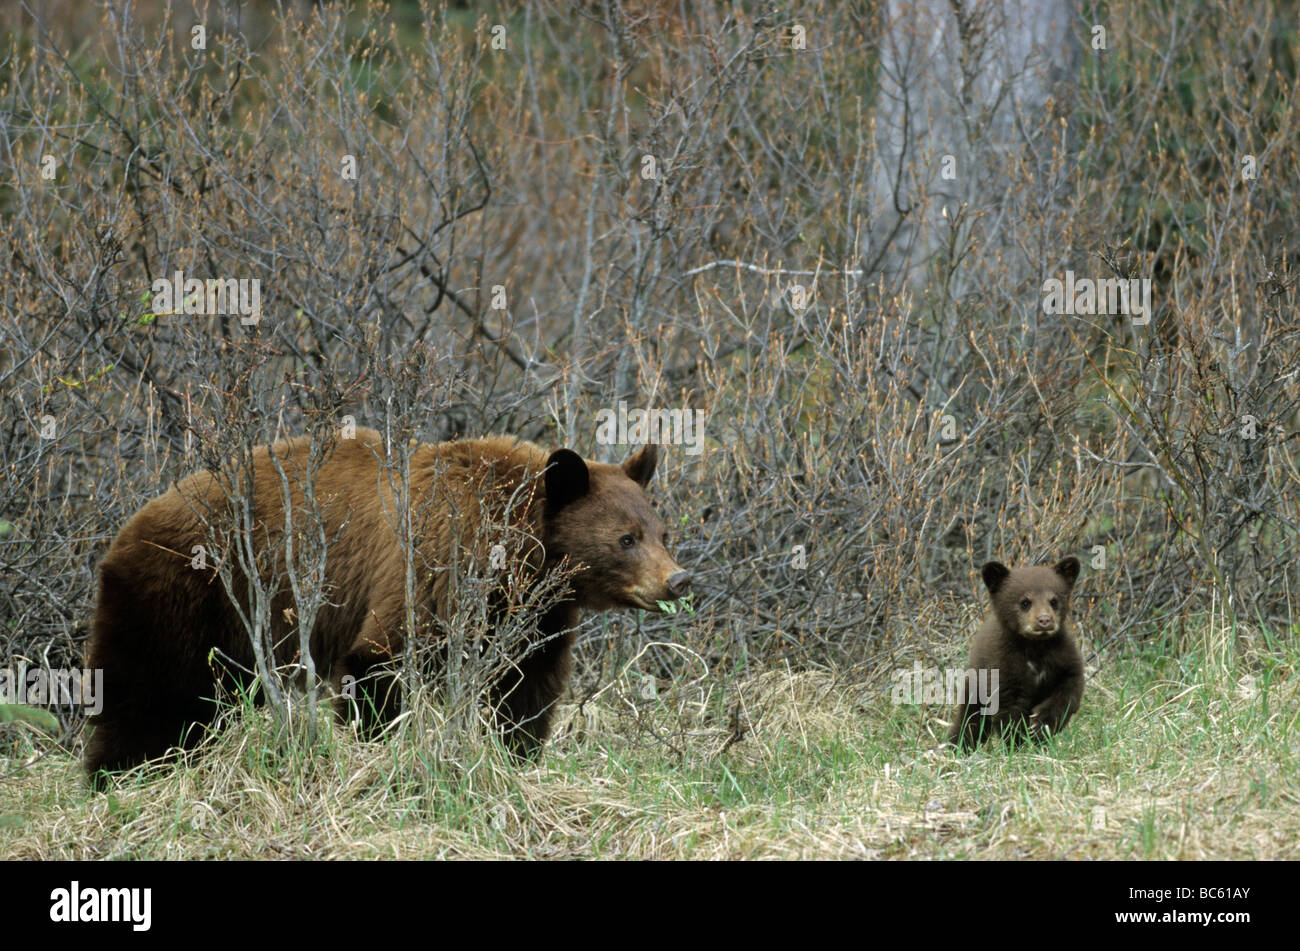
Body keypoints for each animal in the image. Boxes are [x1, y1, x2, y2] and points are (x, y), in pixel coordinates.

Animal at [83, 427, 690, 783]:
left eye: (662, 532)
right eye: (627, 538)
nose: (678, 580)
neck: (518, 551)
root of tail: (128, 527)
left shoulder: (532, 617)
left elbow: (525, 687)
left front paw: (514, 757)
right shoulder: (437, 562)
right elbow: (380, 659)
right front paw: (380, 753)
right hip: (186, 592)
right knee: (148, 693)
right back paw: (121, 774)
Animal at [947, 557, 1083, 750]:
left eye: (1054, 601)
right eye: (1025, 602)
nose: (1044, 620)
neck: (1035, 647)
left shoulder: (1063, 657)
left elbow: (1069, 690)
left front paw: (1040, 725)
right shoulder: (1003, 666)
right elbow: (1008, 709)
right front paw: (1018, 745)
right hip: (976, 683)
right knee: (970, 719)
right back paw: (958, 745)